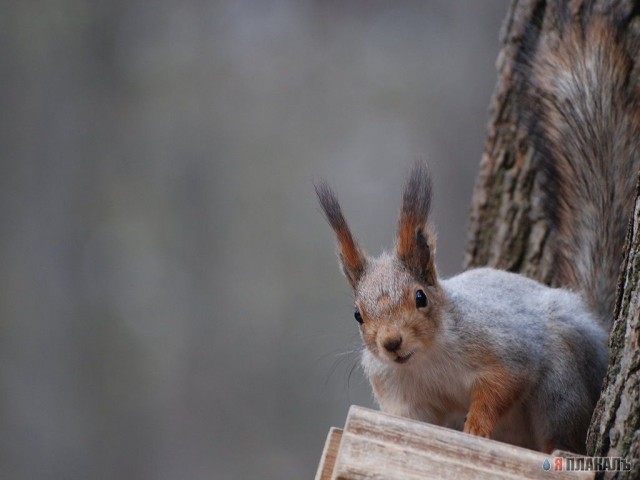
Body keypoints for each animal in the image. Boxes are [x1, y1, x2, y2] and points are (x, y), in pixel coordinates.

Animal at [316, 11, 640, 454]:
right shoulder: (401, 395)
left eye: (420, 297)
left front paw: (475, 433)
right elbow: (410, 422)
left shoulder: (501, 348)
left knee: (560, 431)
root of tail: (594, 323)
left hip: (561, 387)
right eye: (357, 315)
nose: (391, 344)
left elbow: (499, 386)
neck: (427, 357)